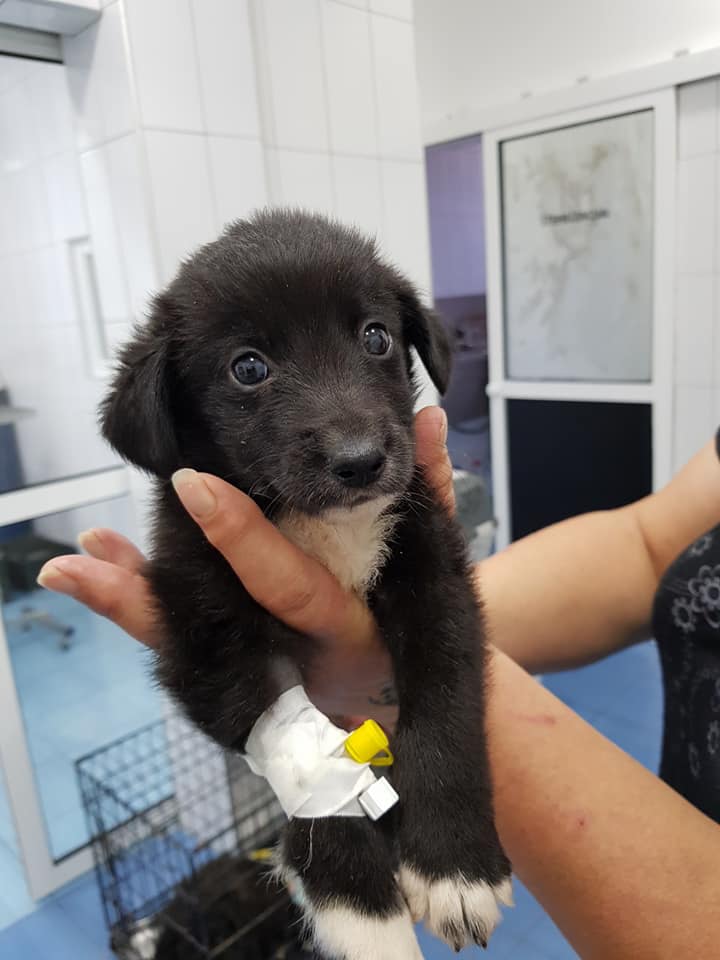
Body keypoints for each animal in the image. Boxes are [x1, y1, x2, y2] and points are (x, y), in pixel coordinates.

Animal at [101, 210, 512, 960]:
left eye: (376, 336)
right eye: (248, 368)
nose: (361, 461)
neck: (322, 528)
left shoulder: (433, 574)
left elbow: (446, 704)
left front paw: (455, 868)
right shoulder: (208, 629)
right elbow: (307, 761)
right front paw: (365, 919)